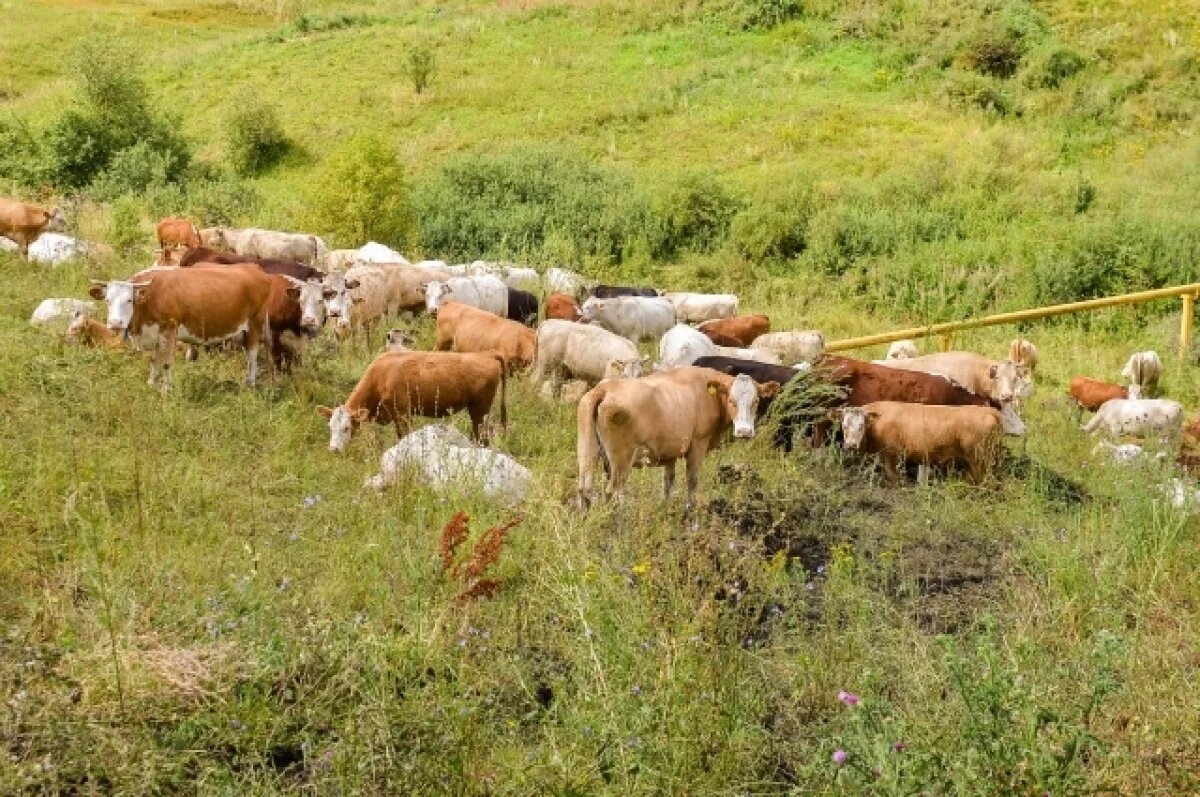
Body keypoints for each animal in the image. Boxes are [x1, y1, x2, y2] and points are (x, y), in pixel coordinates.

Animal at [87, 264, 271, 388]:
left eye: (129, 300)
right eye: (107, 300)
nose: (115, 323)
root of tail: (254, 268)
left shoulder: (169, 329)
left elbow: (167, 362)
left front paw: (167, 389)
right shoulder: (154, 333)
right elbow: (153, 360)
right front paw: (151, 383)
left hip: (254, 325)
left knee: (252, 355)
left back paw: (250, 384)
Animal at [316, 348, 508, 448]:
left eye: (346, 428)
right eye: (330, 427)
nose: (334, 449)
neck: (380, 376)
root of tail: (486, 354)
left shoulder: (403, 414)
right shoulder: (395, 416)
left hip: (480, 410)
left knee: (481, 436)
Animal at [576, 364, 782, 506]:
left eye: (756, 401)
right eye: (731, 400)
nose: (744, 431)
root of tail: (605, 388)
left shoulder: (670, 453)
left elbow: (668, 483)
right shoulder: (698, 444)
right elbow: (692, 481)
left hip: (589, 452)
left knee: (585, 488)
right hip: (621, 460)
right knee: (613, 491)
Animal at [840, 398, 1008, 484]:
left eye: (861, 425)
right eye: (844, 425)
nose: (851, 445)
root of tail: (988, 411)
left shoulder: (891, 455)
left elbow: (893, 477)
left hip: (979, 459)